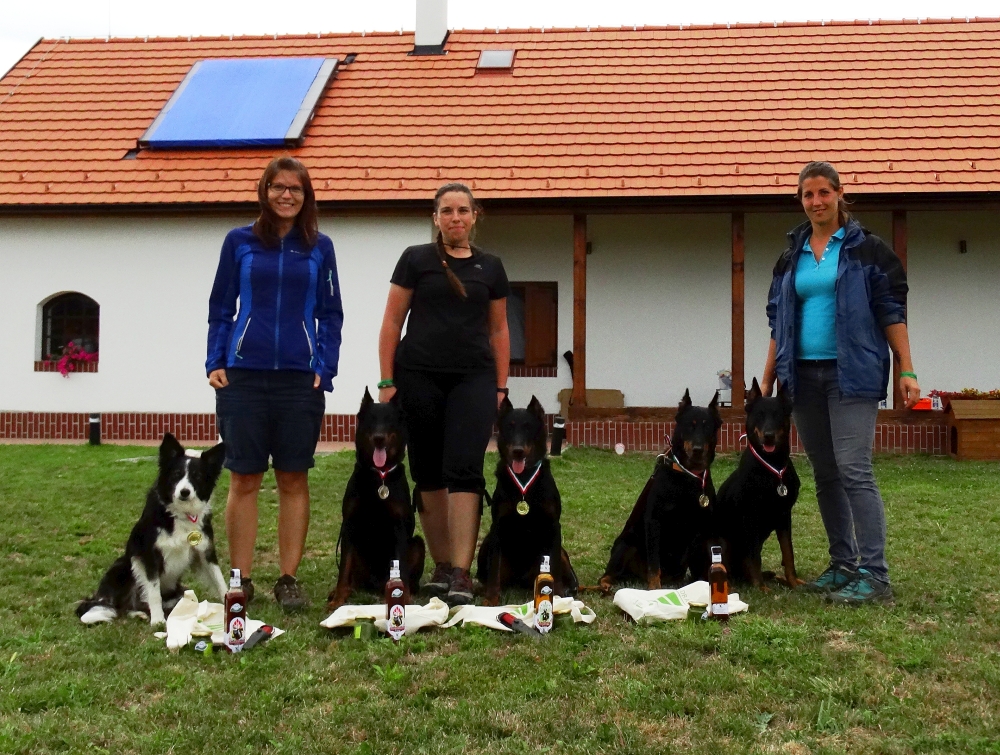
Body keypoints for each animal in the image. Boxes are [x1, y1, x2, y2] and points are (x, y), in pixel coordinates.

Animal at [326, 390, 424, 608]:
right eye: (371, 420)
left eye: (389, 420)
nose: (379, 438)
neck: (379, 476)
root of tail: (375, 584)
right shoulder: (349, 526)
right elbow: (343, 570)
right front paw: (337, 600)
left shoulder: (399, 528)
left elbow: (401, 570)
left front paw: (404, 599)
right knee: (352, 577)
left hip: (417, 543)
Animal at [476, 398, 580, 604]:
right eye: (509, 427)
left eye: (528, 427)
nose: (518, 451)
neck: (524, 479)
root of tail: (520, 578)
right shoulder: (497, 526)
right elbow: (494, 569)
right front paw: (491, 599)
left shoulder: (553, 526)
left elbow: (554, 566)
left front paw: (557, 595)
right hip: (487, 542)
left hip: (559, 551)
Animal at [596, 392, 724, 592]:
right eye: (689, 425)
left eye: (708, 426)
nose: (697, 449)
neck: (687, 474)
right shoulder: (654, 521)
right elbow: (654, 563)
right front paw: (655, 590)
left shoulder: (703, 527)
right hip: (626, 544)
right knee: (609, 573)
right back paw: (606, 584)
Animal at [720, 380, 804, 588]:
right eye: (759, 415)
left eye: (778, 415)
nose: (768, 435)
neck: (772, 465)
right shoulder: (751, 516)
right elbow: (753, 556)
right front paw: (760, 587)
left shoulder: (784, 516)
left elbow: (788, 552)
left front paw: (792, 581)